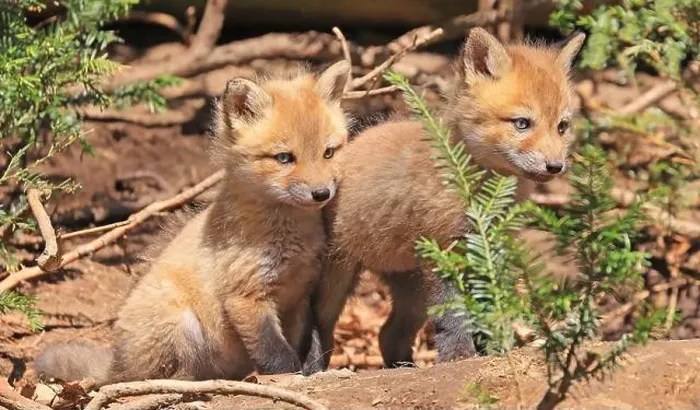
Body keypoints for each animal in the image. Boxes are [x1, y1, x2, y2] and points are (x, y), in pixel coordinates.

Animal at [34, 60, 352, 385]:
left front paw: (316, 371)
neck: (288, 237)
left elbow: (312, 343)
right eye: (285, 158)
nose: (321, 193)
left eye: (328, 152)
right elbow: (276, 354)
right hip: (182, 325)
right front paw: (289, 377)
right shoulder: (246, 297)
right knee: (162, 377)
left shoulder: (301, 294)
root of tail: (117, 363)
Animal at [303, 28, 586, 373]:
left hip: (411, 290)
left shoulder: (488, 247)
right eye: (522, 123)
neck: (481, 189)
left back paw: (403, 368)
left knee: (389, 334)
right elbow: (454, 314)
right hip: (337, 280)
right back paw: (311, 370)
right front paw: (460, 356)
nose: (555, 166)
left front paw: (494, 348)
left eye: (562, 126)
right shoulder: (444, 248)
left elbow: (487, 305)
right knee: (318, 325)